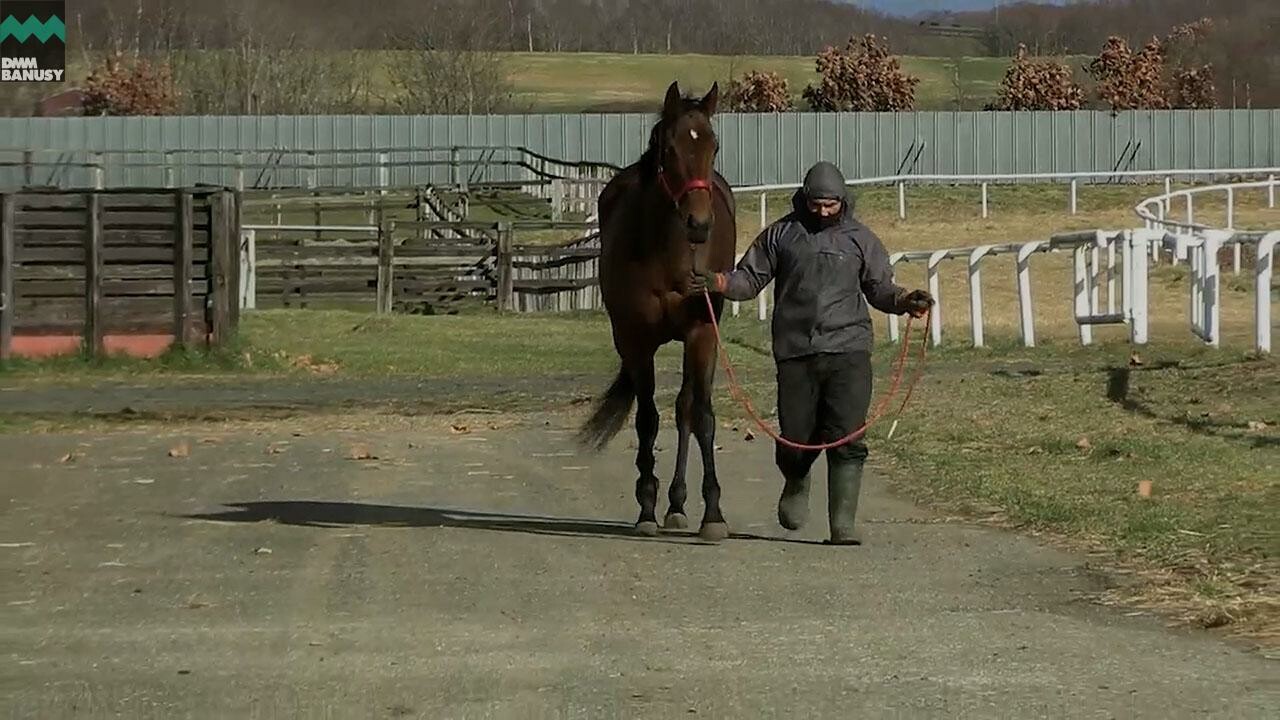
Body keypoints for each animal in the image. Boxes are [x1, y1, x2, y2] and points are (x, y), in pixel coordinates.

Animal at [573, 79, 737, 538]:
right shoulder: (636, 341)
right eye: (670, 148)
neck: (668, 254)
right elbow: (647, 419)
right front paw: (646, 505)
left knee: (686, 409)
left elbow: (702, 416)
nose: (700, 224)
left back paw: (679, 503)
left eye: (714, 145)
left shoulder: (701, 334)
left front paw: (713, 513)